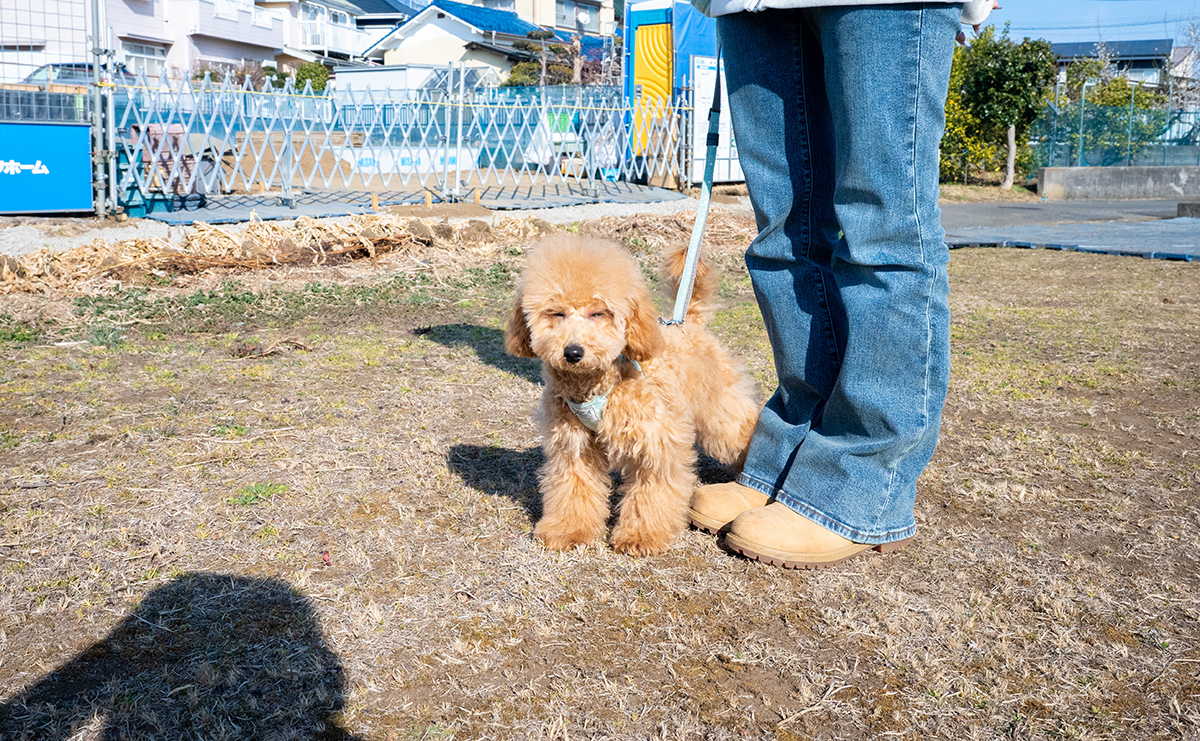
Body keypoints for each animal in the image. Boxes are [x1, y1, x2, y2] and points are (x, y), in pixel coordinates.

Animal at [506, 233, 758, 551]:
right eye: (556, 313)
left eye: (599, 313)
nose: (573, 352)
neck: (599, 384)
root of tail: (689, 323)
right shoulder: (573, 446)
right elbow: (574, 487)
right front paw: (569, 530)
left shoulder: (657, 442)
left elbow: (651, 492)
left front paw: (641, 536)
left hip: (718, 408)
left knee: (742, 428)